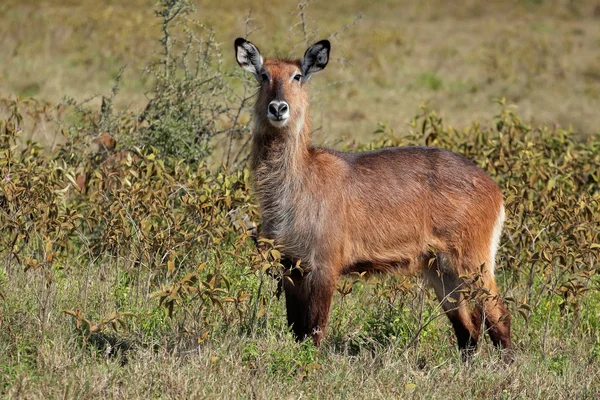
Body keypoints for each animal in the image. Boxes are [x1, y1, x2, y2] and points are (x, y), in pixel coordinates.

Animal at [234, 38, 510, 360]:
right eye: (264, 75)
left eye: (297, 76)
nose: (278, 107)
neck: (298, 183)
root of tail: (494, 188)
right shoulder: (291, 266)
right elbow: (296, 330)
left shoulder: (324, 266)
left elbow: (315, 331)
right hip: (440, 269)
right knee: (469, 329)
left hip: (473, 262)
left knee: (498, 315)